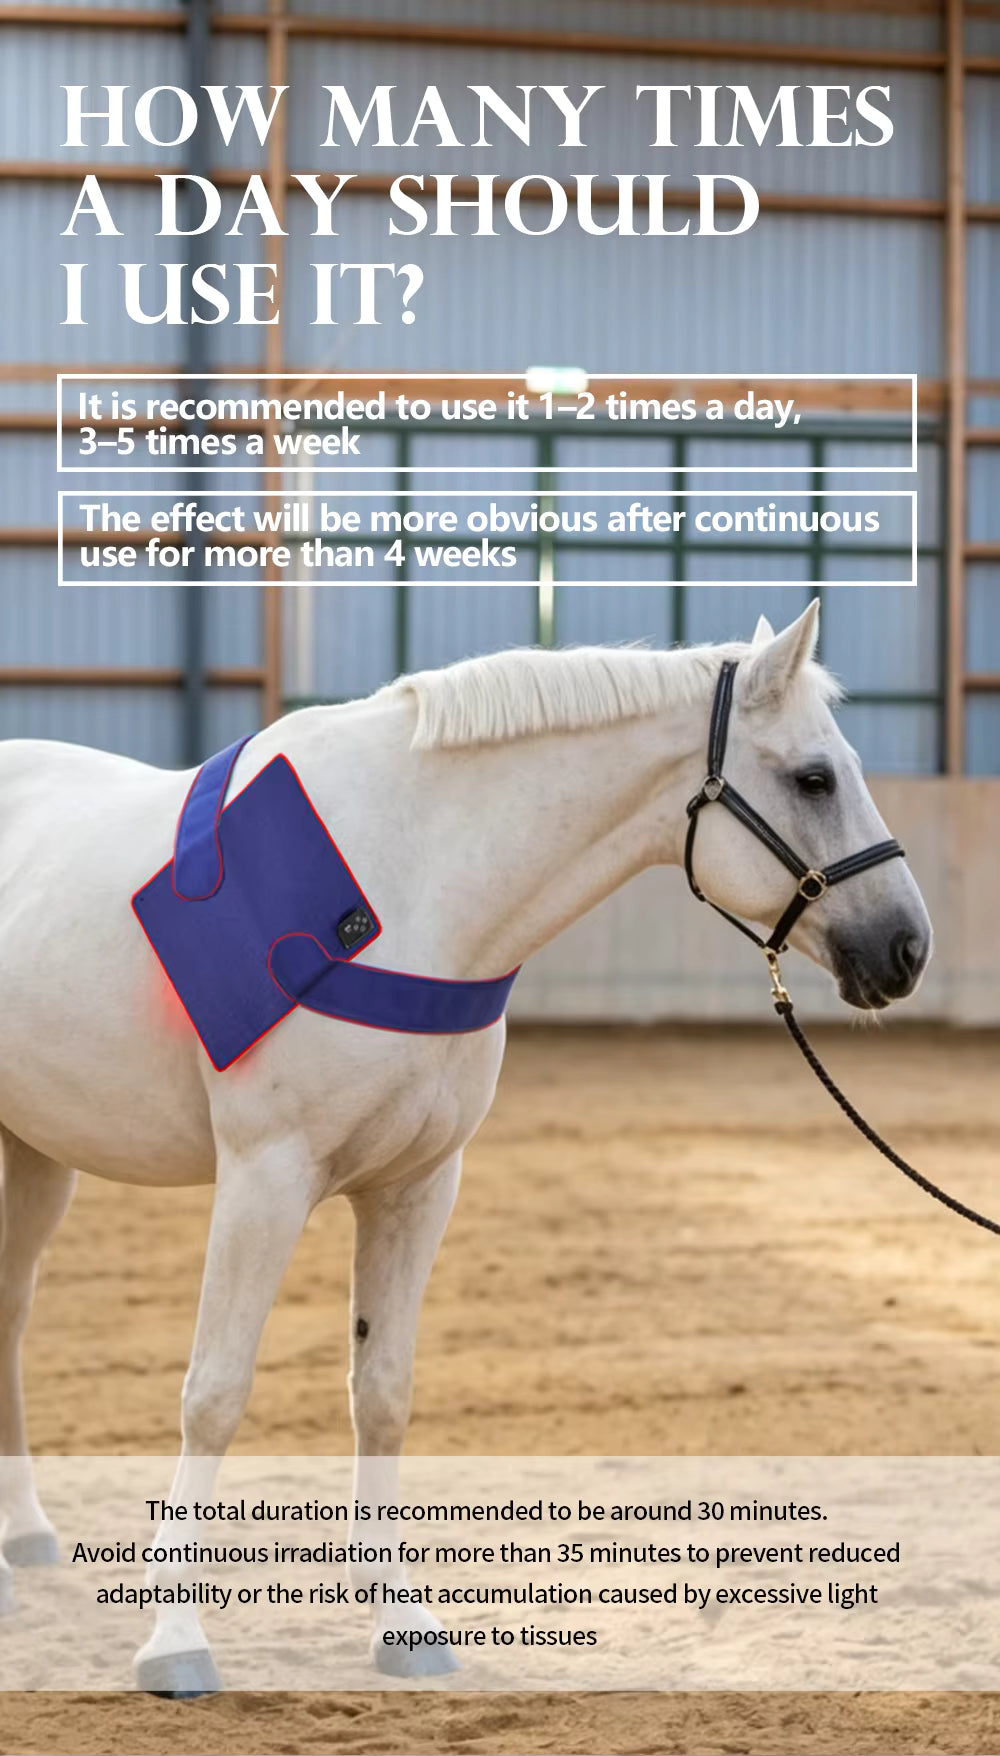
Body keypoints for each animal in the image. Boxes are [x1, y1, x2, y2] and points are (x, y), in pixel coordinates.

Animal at [0, 599, 931, 1692]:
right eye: (814, 778)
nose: (907, 948)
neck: (404, 889)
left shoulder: (417, 1186)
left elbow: (383, 1392)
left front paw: (402, 1625)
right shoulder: (264, 1177)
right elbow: (215, 1394)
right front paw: (175, 1638)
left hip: (35, 1153)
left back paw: (23, 1533)